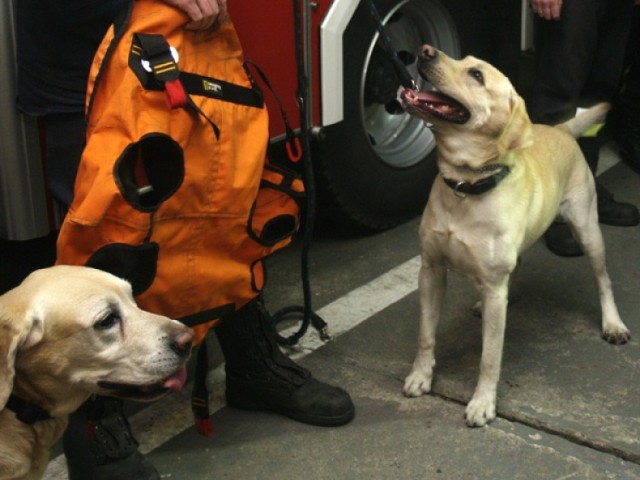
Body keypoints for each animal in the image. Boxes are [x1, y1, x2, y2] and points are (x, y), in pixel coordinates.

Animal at [400, 45, 632, 428]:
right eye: (463, 61)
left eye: (476, 75)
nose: (425, 51)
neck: (466, 187)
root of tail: (562, 129)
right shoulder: (431, 271)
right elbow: (424, 335)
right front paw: (421, 376)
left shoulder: (493, 289)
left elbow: (489, 358)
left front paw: (482, 403)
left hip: (588, 231)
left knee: (604, 280)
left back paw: (613, 322)